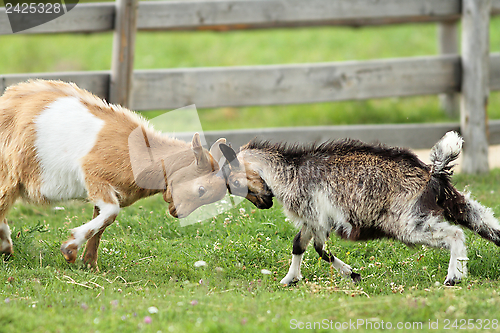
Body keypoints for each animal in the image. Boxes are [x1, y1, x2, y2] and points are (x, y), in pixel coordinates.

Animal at [0, 80, 227, 268]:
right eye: (201, 189)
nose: (178, 213)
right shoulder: (94, 176)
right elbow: (111, 211)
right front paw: (69, 249)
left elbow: (103, 221)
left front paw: (90, 264)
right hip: (8, 173)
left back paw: (7, 250)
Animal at [222, 132, 500, 286]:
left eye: (235, 183)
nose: (264, 203)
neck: (289, 171)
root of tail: (432, 173)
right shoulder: (312, 220)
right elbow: (299, 245)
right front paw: (289, 280)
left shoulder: (316, 217)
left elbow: (318, 249)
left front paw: (350, 274)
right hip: (457, 204)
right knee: (489, 226)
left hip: (407, 223)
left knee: (455, 234)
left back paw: (454, 277)